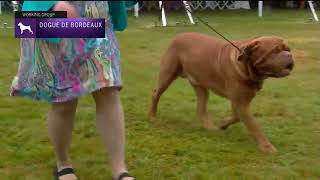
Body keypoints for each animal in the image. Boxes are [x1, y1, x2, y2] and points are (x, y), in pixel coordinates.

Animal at [149, 32, 294, 153]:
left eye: (288, 49)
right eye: (274, 51)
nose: (290, 55)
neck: (246, 67)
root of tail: (178, 35)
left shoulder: (240, 101)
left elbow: (236, 117)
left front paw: (222, 125)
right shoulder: (240, 102)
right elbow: (254, 126)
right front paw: (266, 146)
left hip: (200, 86)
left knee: (201, 109)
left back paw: (211, 128)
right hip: (167, 75)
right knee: (156, 93)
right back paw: (152, 116)